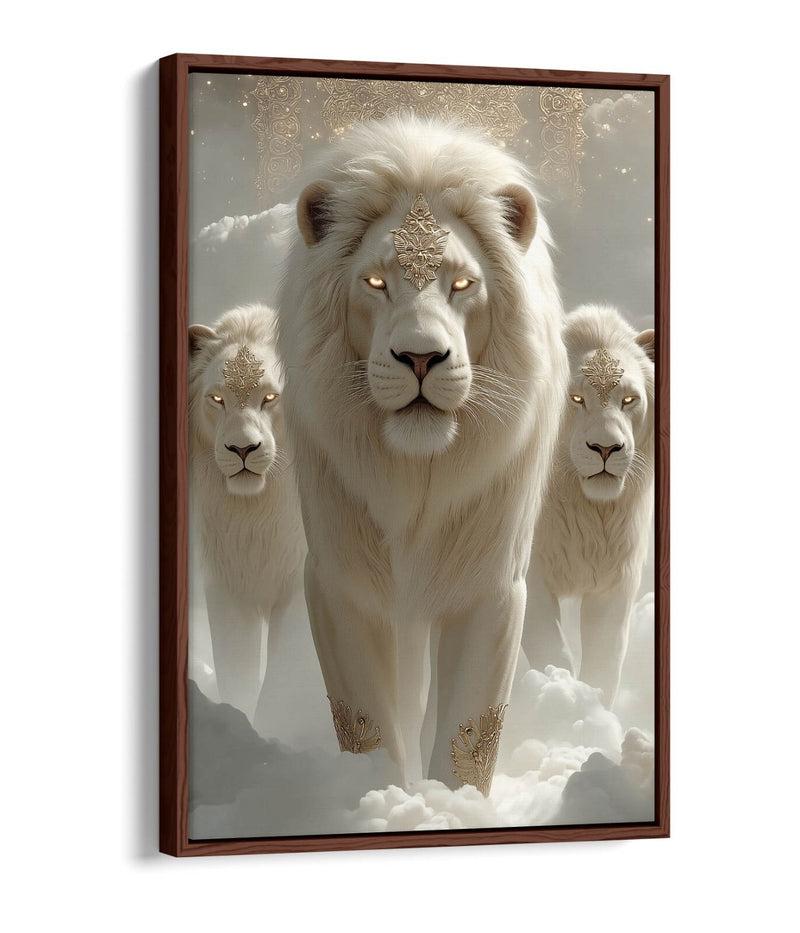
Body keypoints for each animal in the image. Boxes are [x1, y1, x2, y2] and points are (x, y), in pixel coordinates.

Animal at [189, 304, 307, 727]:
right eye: (217, 398)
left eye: (270, 397)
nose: (242, 449)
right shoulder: (229, 586)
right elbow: (236, 672)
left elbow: (284, 672)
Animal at [277, 117, 568, 794]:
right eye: (376, 282)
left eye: (462, 283)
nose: (419, 357)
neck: (415, 476)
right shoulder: (338, 582)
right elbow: (366, 721)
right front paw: (377, 797)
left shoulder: (490, 584)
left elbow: (469, 730)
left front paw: (450, 805)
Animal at [521, 304, 656, 706]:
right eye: (576, 399)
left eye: (629, 399)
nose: (606, 448)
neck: (589, 511)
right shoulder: (528, 573)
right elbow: (549, 646)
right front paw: (559, 691)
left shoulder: (616, 580)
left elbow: (605, 660)